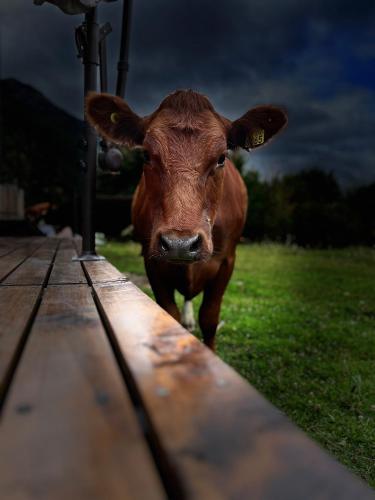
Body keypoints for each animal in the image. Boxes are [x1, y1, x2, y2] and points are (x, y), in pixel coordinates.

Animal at [87, 90, 288, 348]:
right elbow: (169, 314)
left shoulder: (227, 261)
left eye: (222, 158)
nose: (179, 244)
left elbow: (210, 318)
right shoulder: (152, 261)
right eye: (146, 155)